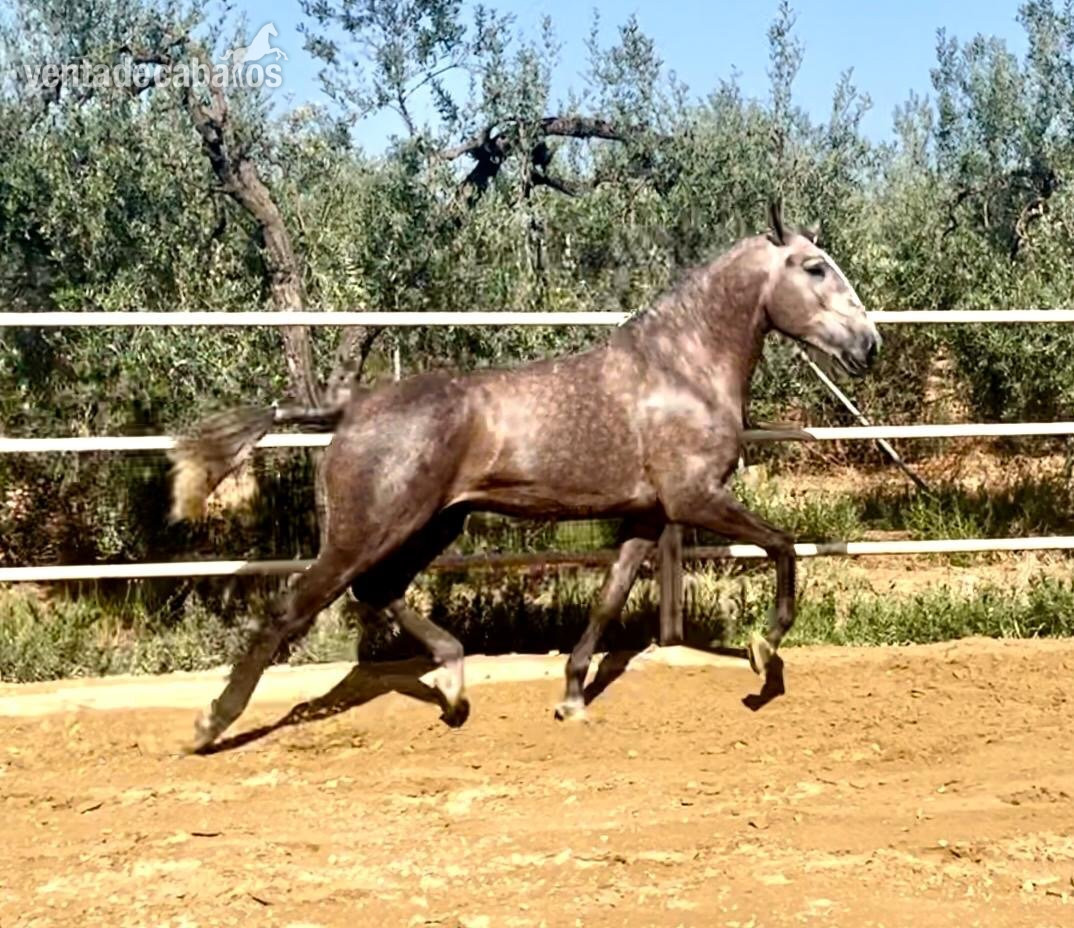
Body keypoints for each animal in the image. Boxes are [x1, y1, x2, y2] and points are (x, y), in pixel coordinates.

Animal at [169, 203, 881, 753]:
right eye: (815, 268)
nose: (868, 345)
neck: (681, 369)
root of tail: (352, 408)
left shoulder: (648, 513)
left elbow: (609, 598)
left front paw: (571, 698)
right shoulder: (694, 498)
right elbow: (783, 545)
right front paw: (764, 652)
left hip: (434, 522)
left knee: (379, 590)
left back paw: (454, 687)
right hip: (369, 529)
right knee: (295, 607)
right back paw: (209, 726)